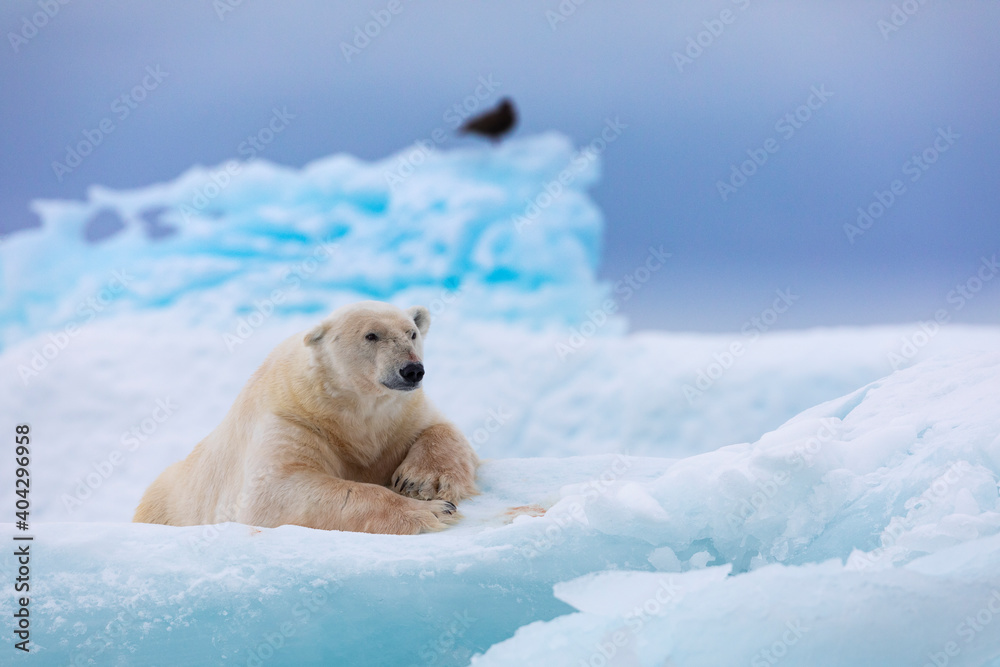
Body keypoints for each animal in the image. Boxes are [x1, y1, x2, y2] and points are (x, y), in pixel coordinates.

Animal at [133, 300, 479, 535]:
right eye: (371, 335)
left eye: (413, 332)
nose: (412, 370)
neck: (349, 408)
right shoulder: (294, 420)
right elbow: (276, 492)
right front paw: (434, 511)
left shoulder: (401, 416)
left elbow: (442, 429)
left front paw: (421, 483)